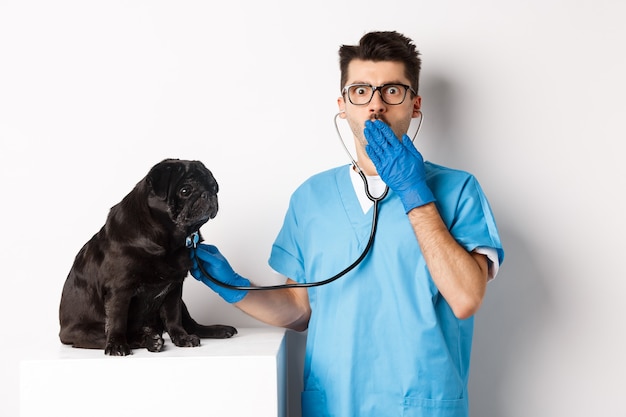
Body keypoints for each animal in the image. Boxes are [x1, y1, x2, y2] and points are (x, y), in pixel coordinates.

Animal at [59, 158, 236, 354]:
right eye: (185, 191)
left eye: (214, 187)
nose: (208, 194)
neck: (168, 240)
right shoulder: (120, 289)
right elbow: (117, 320)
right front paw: (117, 345)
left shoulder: (174, 289)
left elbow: (174, 317)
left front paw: (182, 338)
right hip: (83, 332)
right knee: (109, 334)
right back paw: (149, 340)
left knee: (191, 324)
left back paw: (214, 330)